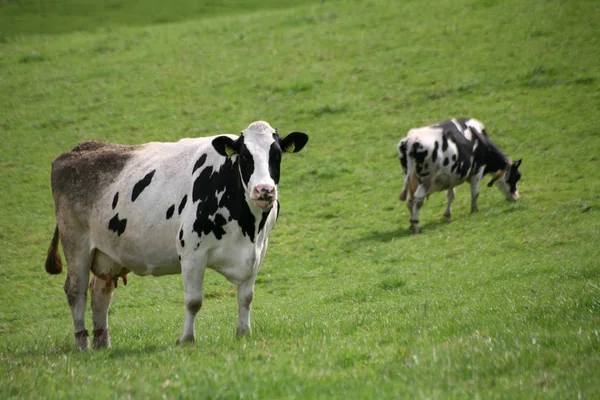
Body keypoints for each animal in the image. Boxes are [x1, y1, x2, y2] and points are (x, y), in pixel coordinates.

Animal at [45, 120, 310, 348]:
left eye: (277, 155)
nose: (264, 190)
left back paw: (103, 344)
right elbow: (194, 301)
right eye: (245, 156)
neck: (247, 225)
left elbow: (246, 297)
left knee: (100, 292)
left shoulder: (257, 251)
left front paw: (244, 333)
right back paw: (82, 343)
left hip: (107, 253)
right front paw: (186, 339)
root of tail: (78, 150)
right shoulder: (192, 251)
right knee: (76, 291)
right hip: (76, 243)